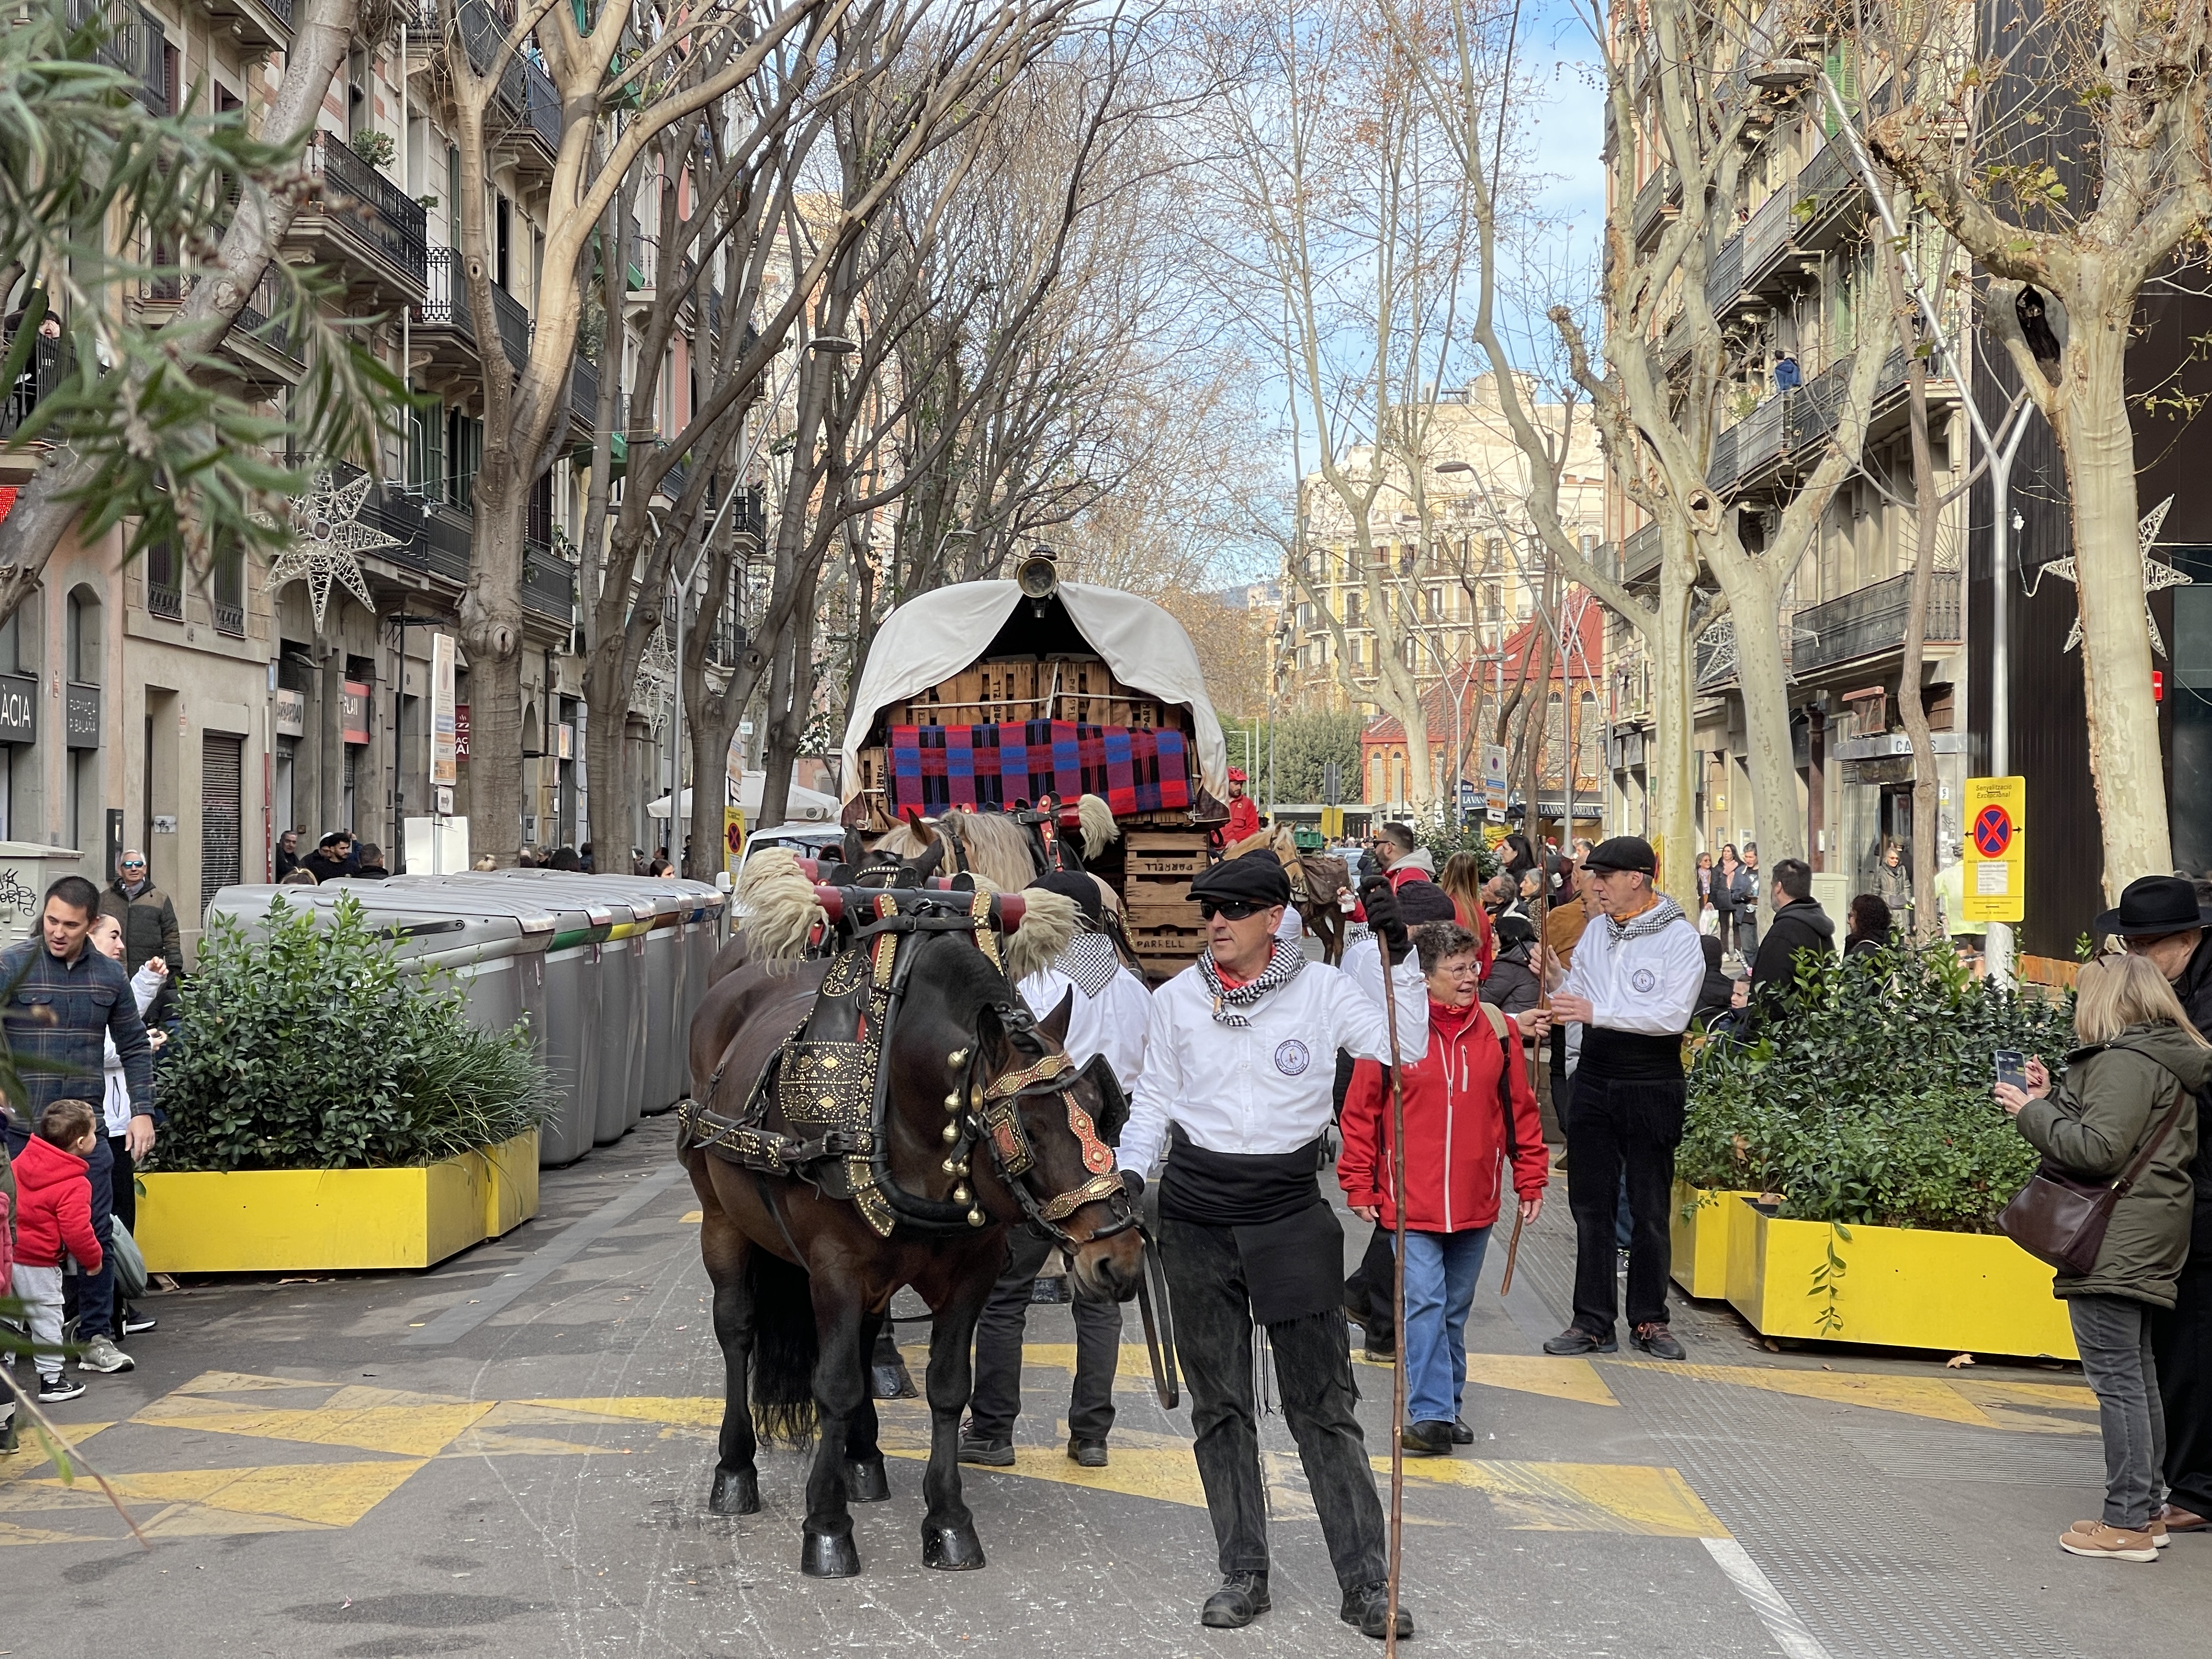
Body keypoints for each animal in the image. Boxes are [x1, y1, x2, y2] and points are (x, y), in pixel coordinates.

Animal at [685, 876, 1141, 1575]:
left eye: (1097, 1108)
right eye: (1031, 1130)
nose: (1117, 1258)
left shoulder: (971, 1271)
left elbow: (949, 1388)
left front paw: (949, 1520)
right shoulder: (836, 1268)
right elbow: (834, 1385)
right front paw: (826, 1527)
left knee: (865, 1338)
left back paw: (865, 1461)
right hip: (721, 1220)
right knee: (737, 1329)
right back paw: (736, 1470)